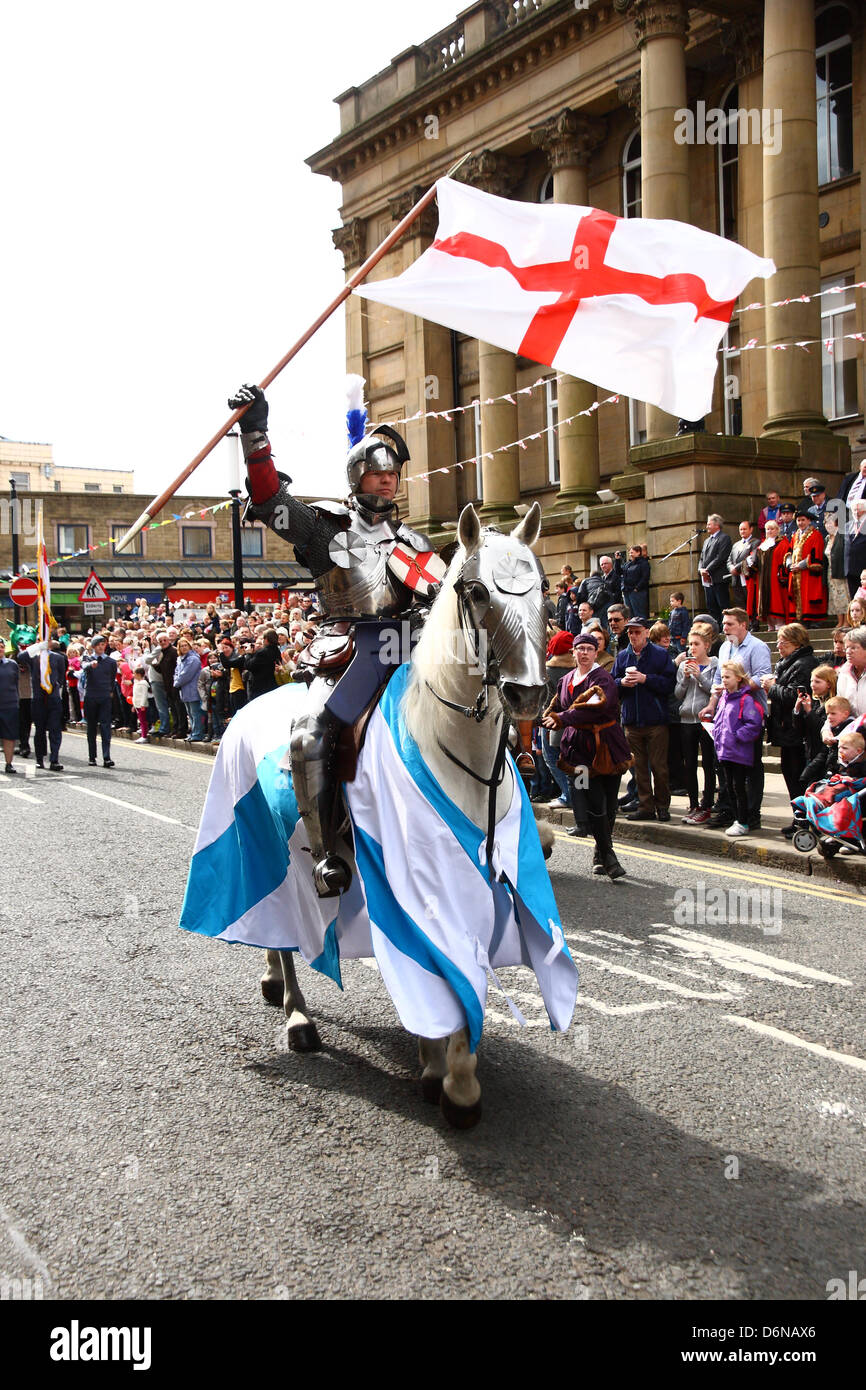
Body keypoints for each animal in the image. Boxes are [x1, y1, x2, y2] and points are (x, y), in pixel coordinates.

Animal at [186, 503, 572, 1128]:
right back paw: (296, 1015)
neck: (449, 744)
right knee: (283, 931)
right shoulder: (424, 878)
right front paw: (456, 1082)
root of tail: (247, 706)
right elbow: (442, 966)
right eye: (476, 590)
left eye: (543, 588)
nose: (527, 696)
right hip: (267, 843)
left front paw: (437, 1064)